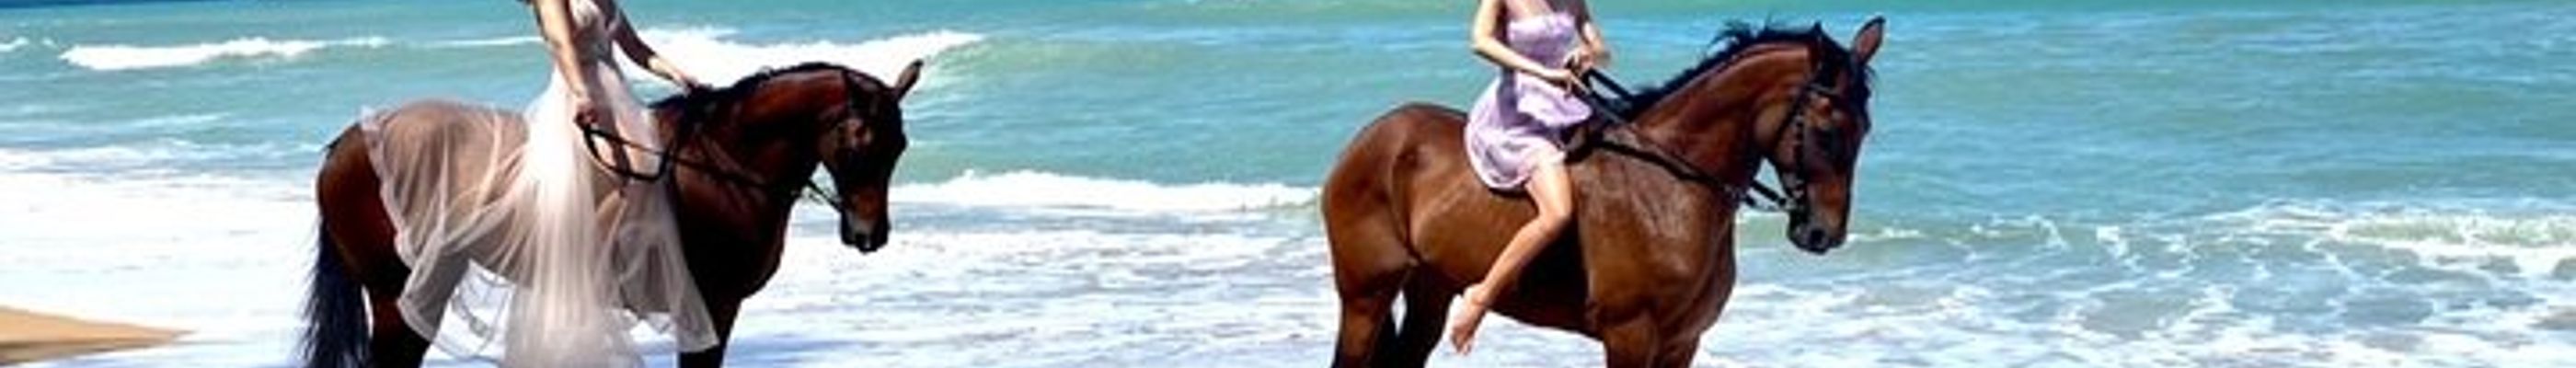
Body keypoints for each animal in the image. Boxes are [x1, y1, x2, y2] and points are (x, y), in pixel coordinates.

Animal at [298, 60, 924, 367]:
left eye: (900, 147)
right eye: (862, 142)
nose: (870, 234)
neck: (721, 163)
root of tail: (347, 142)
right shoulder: (712, 306)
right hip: (399, 292)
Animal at [1321, 17, 1886, 367]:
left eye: (1865, 129)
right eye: (1827, 131)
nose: (1822, 234)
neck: (1669, 189)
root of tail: (1373, 136)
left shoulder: (1682, 343)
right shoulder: (1629, 334)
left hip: (1430, 288)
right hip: (1366, 294)